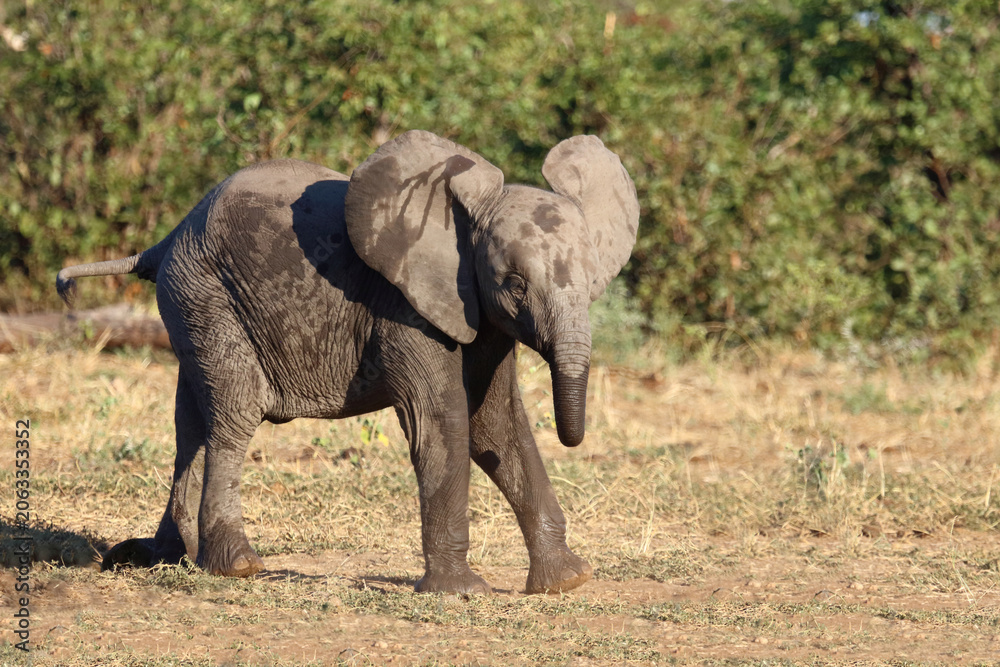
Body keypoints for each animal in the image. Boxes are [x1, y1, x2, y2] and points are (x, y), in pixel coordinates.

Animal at [56, 130, 639, 594]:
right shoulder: (404, 308)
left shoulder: (479, 317)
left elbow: (496, 426)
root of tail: (165, 240)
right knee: (234, 413)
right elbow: (442, 420)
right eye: (514, 284)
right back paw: (236, 567)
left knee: (191, 422)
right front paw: (460, 593)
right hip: (208, 295)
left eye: (592, 281)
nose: (576, 437)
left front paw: (566, 582)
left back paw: (161, 558)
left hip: (191, 305)